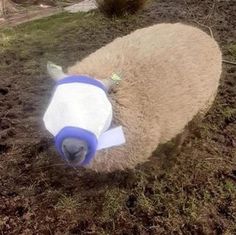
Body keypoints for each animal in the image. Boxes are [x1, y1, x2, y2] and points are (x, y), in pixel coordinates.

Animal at [43, 22, 222, 173]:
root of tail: (199, 30)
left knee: (188, 129)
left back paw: (175, 149)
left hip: (204, 104)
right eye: (59, 106)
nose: (72, 150)